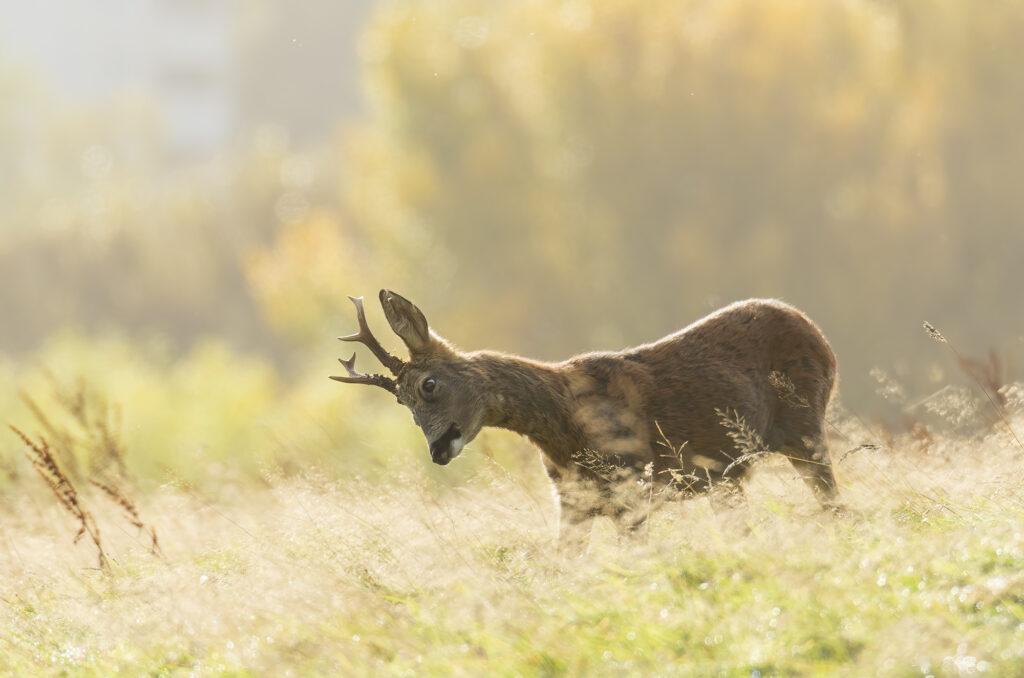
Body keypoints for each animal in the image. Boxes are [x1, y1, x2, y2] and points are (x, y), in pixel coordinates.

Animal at [331, 290, 835, 540]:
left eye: (429, 385)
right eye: (401, 403)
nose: (436, 450)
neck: (565, 425)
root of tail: (817, 331)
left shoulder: (633, 485)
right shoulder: (572, 501)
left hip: (805, 429)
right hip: (731, 477)